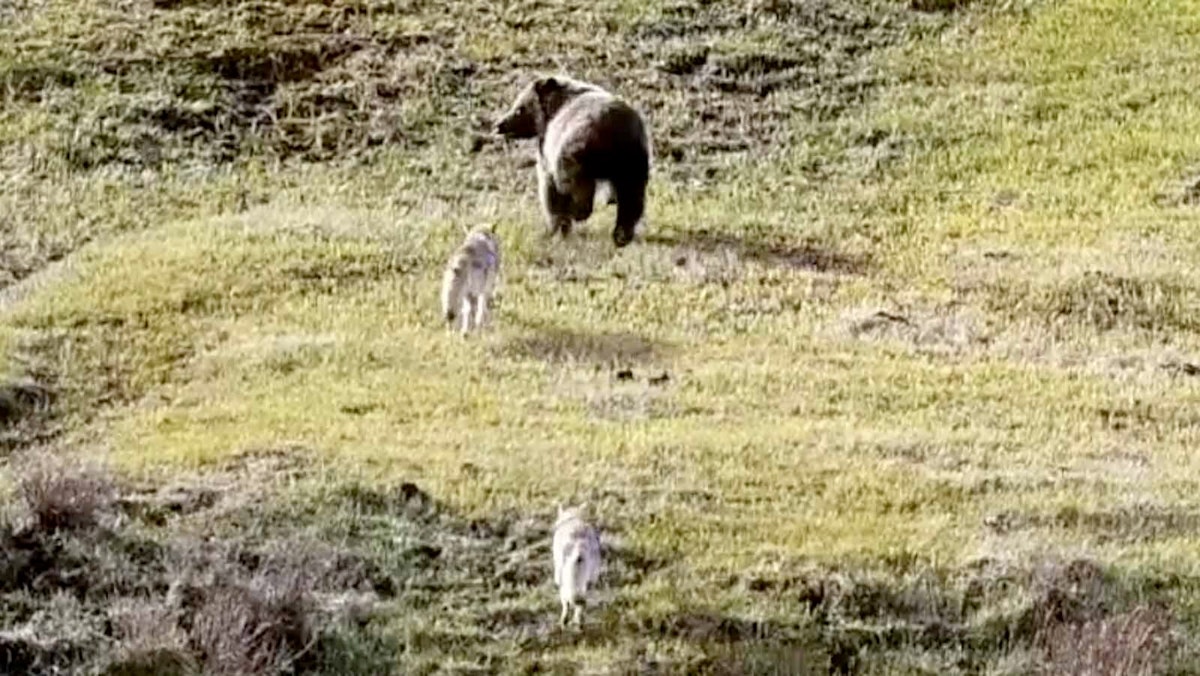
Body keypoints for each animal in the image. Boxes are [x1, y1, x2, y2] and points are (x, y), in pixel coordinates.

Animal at [492, 75, 651, 248]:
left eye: (519, 108)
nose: (499, 125)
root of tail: (611, 130)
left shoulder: (550, 150)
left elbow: (549, 188)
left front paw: (554, 227)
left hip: (578, 151)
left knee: (577, 186)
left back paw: (579, 213)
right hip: (633, 160)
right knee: (631, 198)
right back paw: (621, 235)